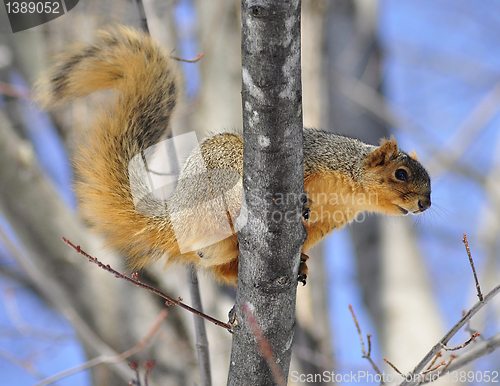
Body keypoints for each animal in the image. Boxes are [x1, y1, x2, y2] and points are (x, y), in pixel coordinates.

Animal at [36, 26, 430, 286]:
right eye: (401, 173)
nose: (425, 204)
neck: (349, 189)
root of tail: (175, 215)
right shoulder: (315, 156)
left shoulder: (325, 225)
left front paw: (302, 263)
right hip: (221, 166)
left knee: (221, 266)